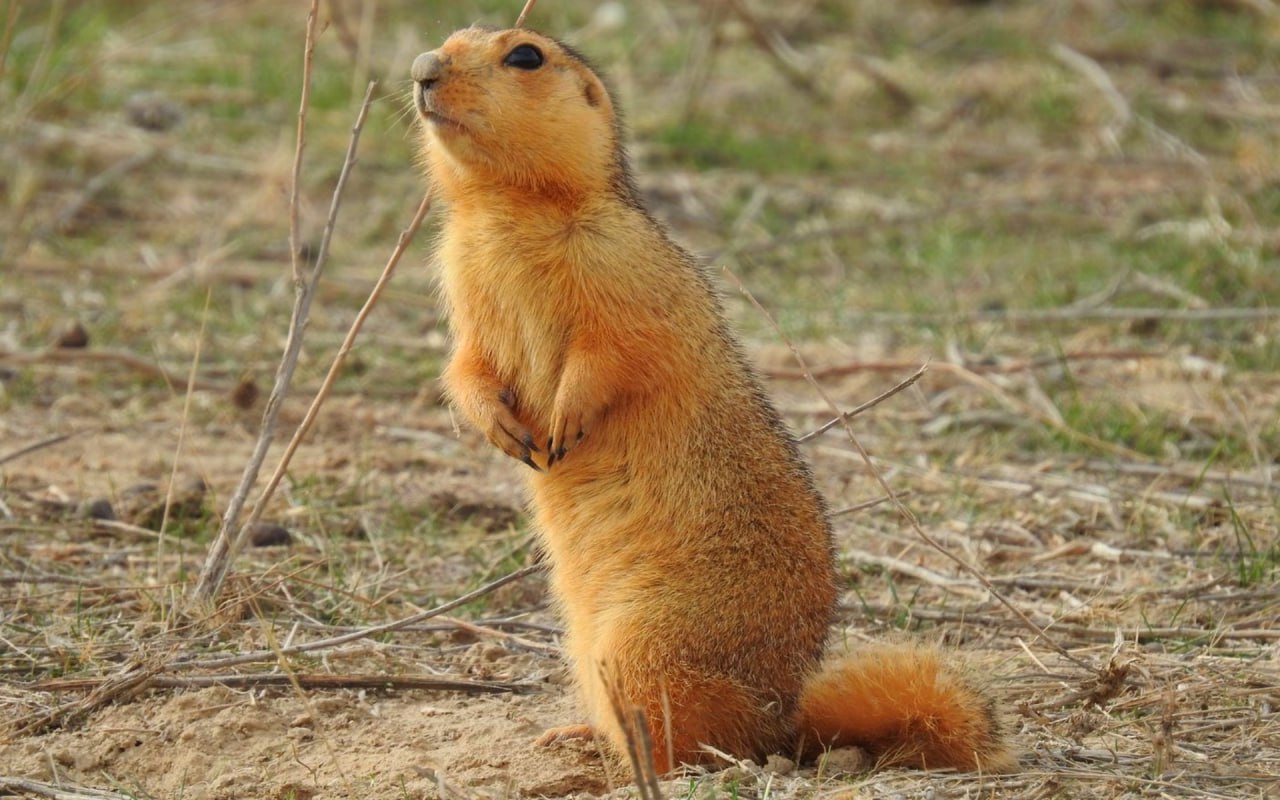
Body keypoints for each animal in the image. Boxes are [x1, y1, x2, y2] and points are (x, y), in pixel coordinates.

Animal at [414, 26, 1013, 773]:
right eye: (446, 40)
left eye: (525, 55)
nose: (422, 68)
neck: (505, 208)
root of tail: (785, 719)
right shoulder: (462, 286)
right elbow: (465, 363)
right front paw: (503, 428)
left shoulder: (626, 266)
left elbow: (615, 349)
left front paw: (563, 420)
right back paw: (574, 735)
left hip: (645, 645)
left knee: (708, 743)